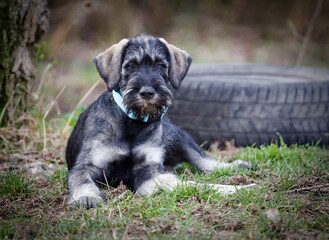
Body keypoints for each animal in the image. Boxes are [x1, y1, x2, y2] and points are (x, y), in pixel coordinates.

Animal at [64, 33, 254, 208]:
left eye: (161, 65)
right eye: (130, 65)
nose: (147, 93)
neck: (132, 123)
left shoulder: (149, 171)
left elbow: (191, 184)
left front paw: (235, 189)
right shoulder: (86, 166)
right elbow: (83, 181)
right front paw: (86, 197)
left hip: (178, 137)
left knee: (204, 160)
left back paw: (237, 165)